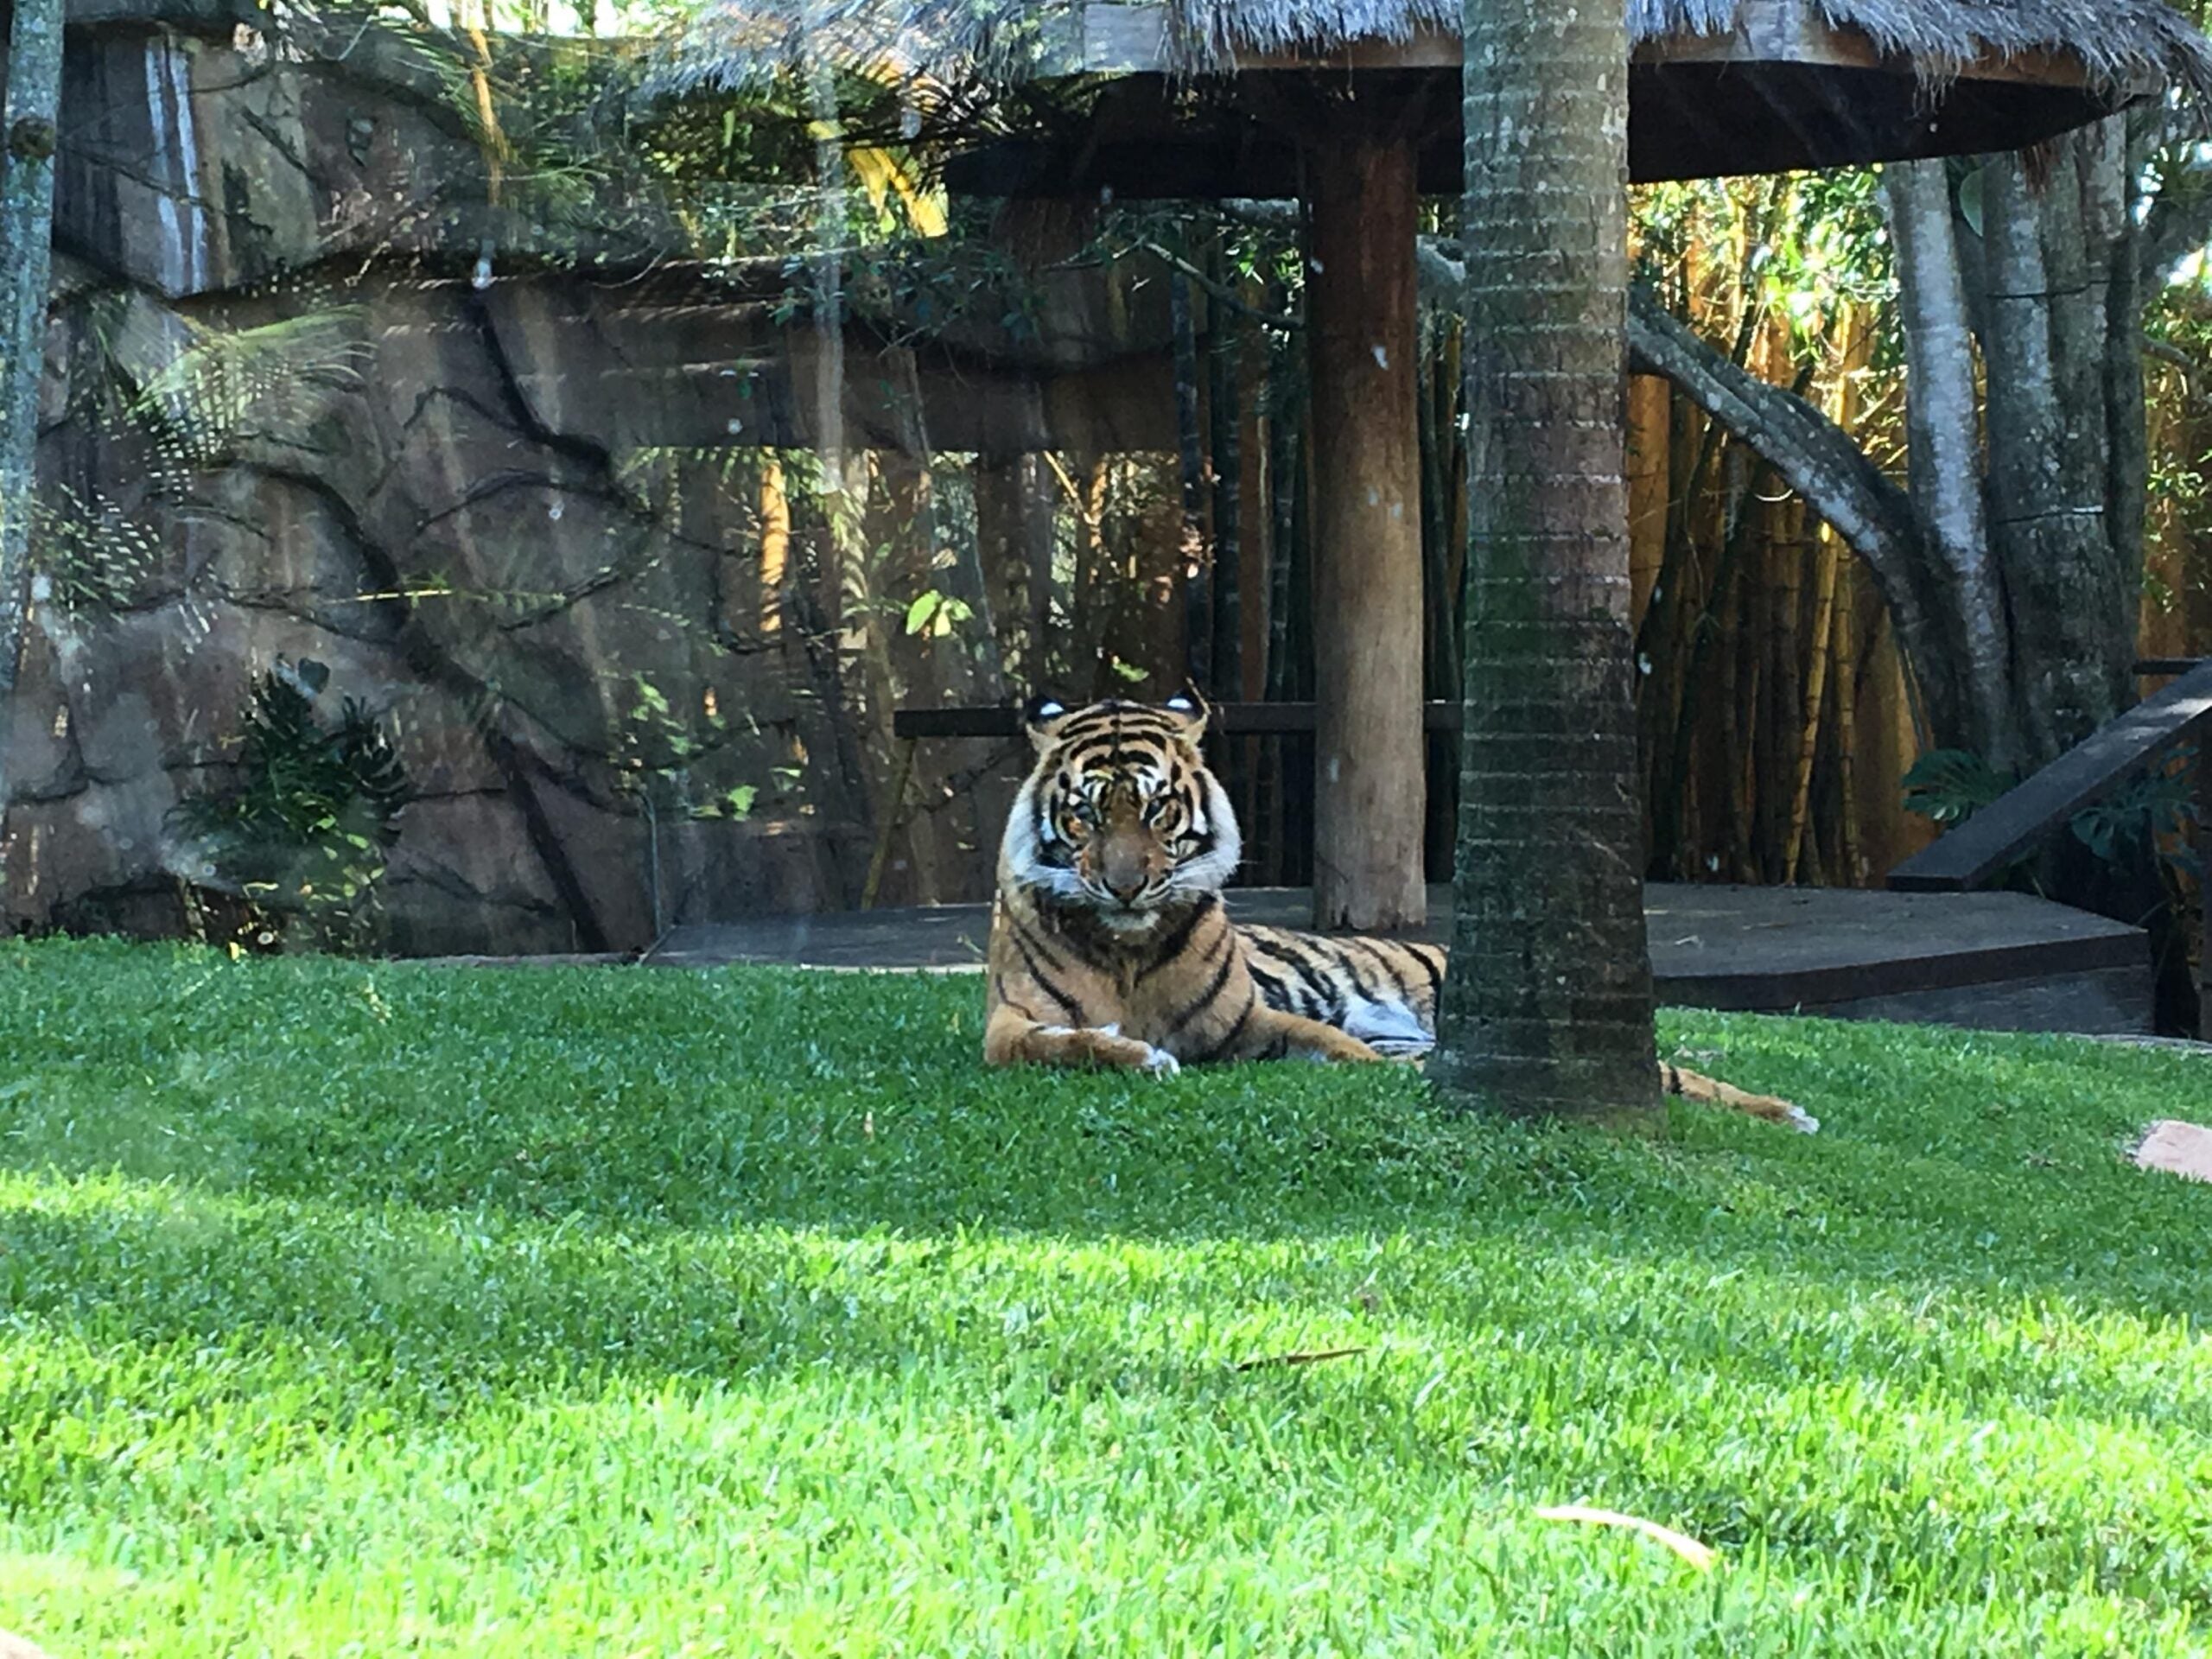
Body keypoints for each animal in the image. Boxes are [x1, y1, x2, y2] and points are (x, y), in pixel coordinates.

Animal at [983, 693, 1817, 1133]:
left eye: (1156, 809)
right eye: (1088, 815)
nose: (1125, 887)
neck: (1128, 947)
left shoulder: (1253, 1024)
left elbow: (1333, 1046)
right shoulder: (1007, 1026)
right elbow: (1057, 1045)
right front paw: (1136, 1054)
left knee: (1680, 1076)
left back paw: (1787, 1112)